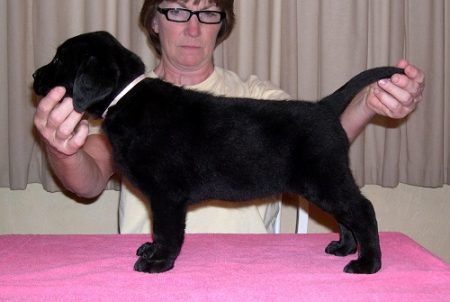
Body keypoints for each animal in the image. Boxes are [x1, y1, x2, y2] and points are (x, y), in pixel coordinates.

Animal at [33, 30, 402, 274]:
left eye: (59, 59)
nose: (34, 75)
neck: (126, 99)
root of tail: (325, 107)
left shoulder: (167, 195)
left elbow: (167, 231)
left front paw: (158, 262)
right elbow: (159, 231)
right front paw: (152, 250)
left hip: (324, 178)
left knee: (362, 210)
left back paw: (368, 263)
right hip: (325, 181)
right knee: (347, 215)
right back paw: (344, 248)